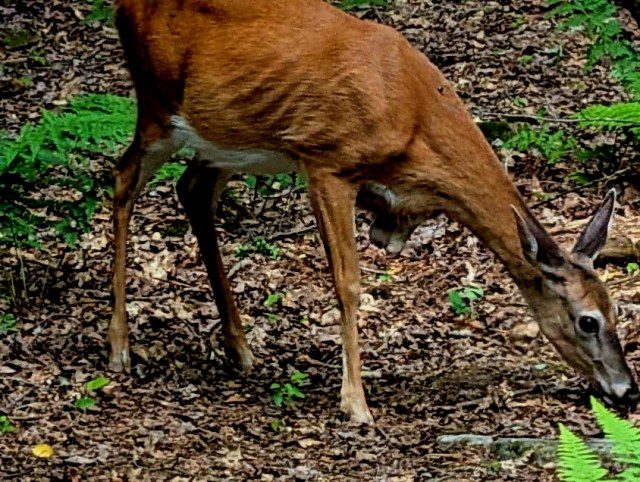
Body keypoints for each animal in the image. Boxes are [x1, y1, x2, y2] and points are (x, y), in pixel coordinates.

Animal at [110, 0, 638, 423]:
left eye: (618, 309)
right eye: (588, 321)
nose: (628, 389)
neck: (413, 117)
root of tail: (123, 5)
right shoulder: (327, 160)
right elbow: (348, 283)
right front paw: (356, 404)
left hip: (225, 141)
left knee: (192, 190)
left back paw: (240, 351)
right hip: (157, 105)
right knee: (122, 176)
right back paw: (120, 348)